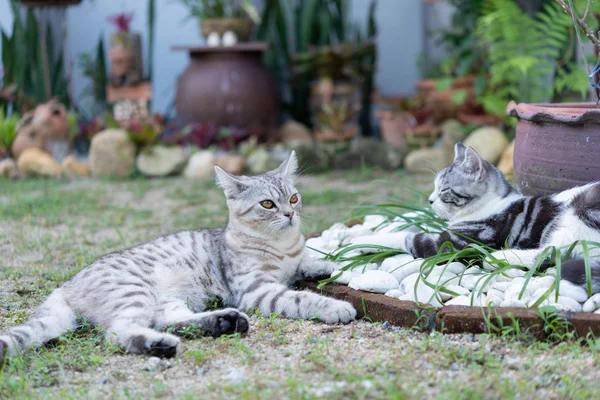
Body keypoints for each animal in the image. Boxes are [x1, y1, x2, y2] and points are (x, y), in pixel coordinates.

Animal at [1, 152, 356, 364]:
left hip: (171, 301)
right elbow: (300, 298)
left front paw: (332, 265)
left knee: (171, 321)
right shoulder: (257, 289)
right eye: (267, 204)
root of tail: (65, 286)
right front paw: (335, 306)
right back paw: (163, 345)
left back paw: (224, 322)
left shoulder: (293, 261)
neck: (282, 246)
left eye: (293, 198)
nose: (290, 213)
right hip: (134, 293)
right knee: (119, 332)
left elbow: (309, 260)